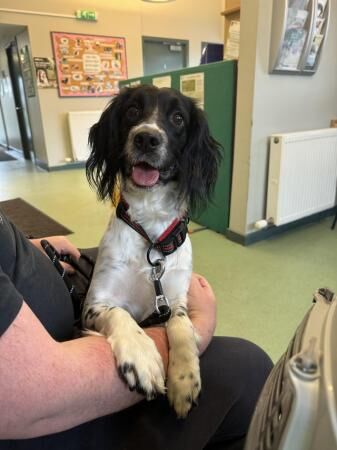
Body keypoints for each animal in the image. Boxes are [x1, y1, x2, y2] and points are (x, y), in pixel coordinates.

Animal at [82, 85, 220, 418]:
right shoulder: (94, 304)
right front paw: (141, 358)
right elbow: (118, 313)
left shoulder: (173, 300)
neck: (152, 238)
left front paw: (185, 379)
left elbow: (181, 324)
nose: (146, 138)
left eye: (178, 118)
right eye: (132, 111)